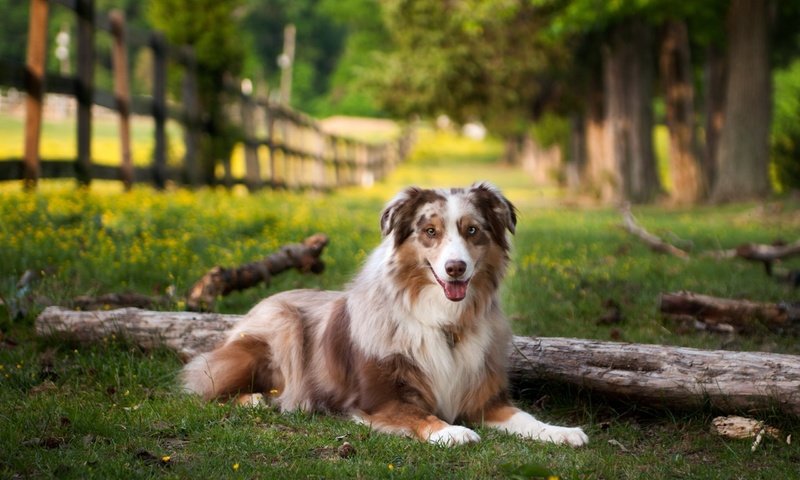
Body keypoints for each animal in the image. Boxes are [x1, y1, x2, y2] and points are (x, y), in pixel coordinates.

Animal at [184, 183, 592, 446]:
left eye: (472, 230)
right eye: (430, 231)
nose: (456, 268)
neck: (444, 322)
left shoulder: (483, 399)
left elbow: (525, 417)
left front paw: (560, 431)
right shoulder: (377, 401)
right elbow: (420, 415)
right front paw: (451, 431)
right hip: (281, 326)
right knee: (201, 386)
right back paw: (255, 399)